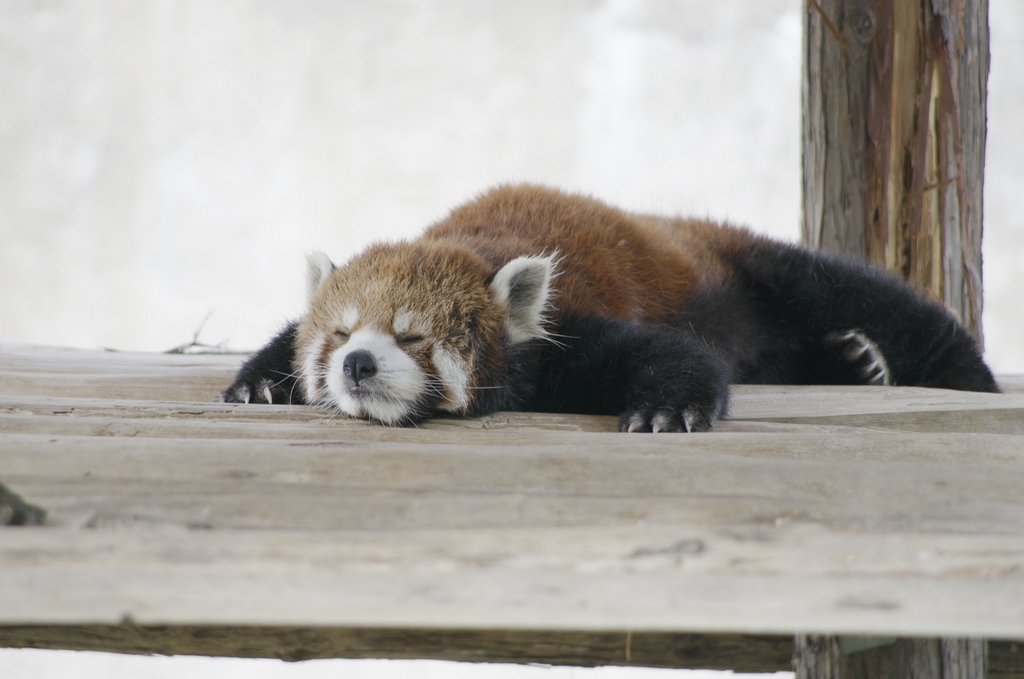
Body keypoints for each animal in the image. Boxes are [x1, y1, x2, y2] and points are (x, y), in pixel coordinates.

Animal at [218, 183, 999, 432]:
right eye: (341, 332)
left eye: (411, 338)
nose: (356, 364)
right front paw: (260, 381)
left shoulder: (565, 335)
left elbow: (675, 356)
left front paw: (665, 409)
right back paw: (850, 362)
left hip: (745, 266)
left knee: (855, 293)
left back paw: (960, 373)